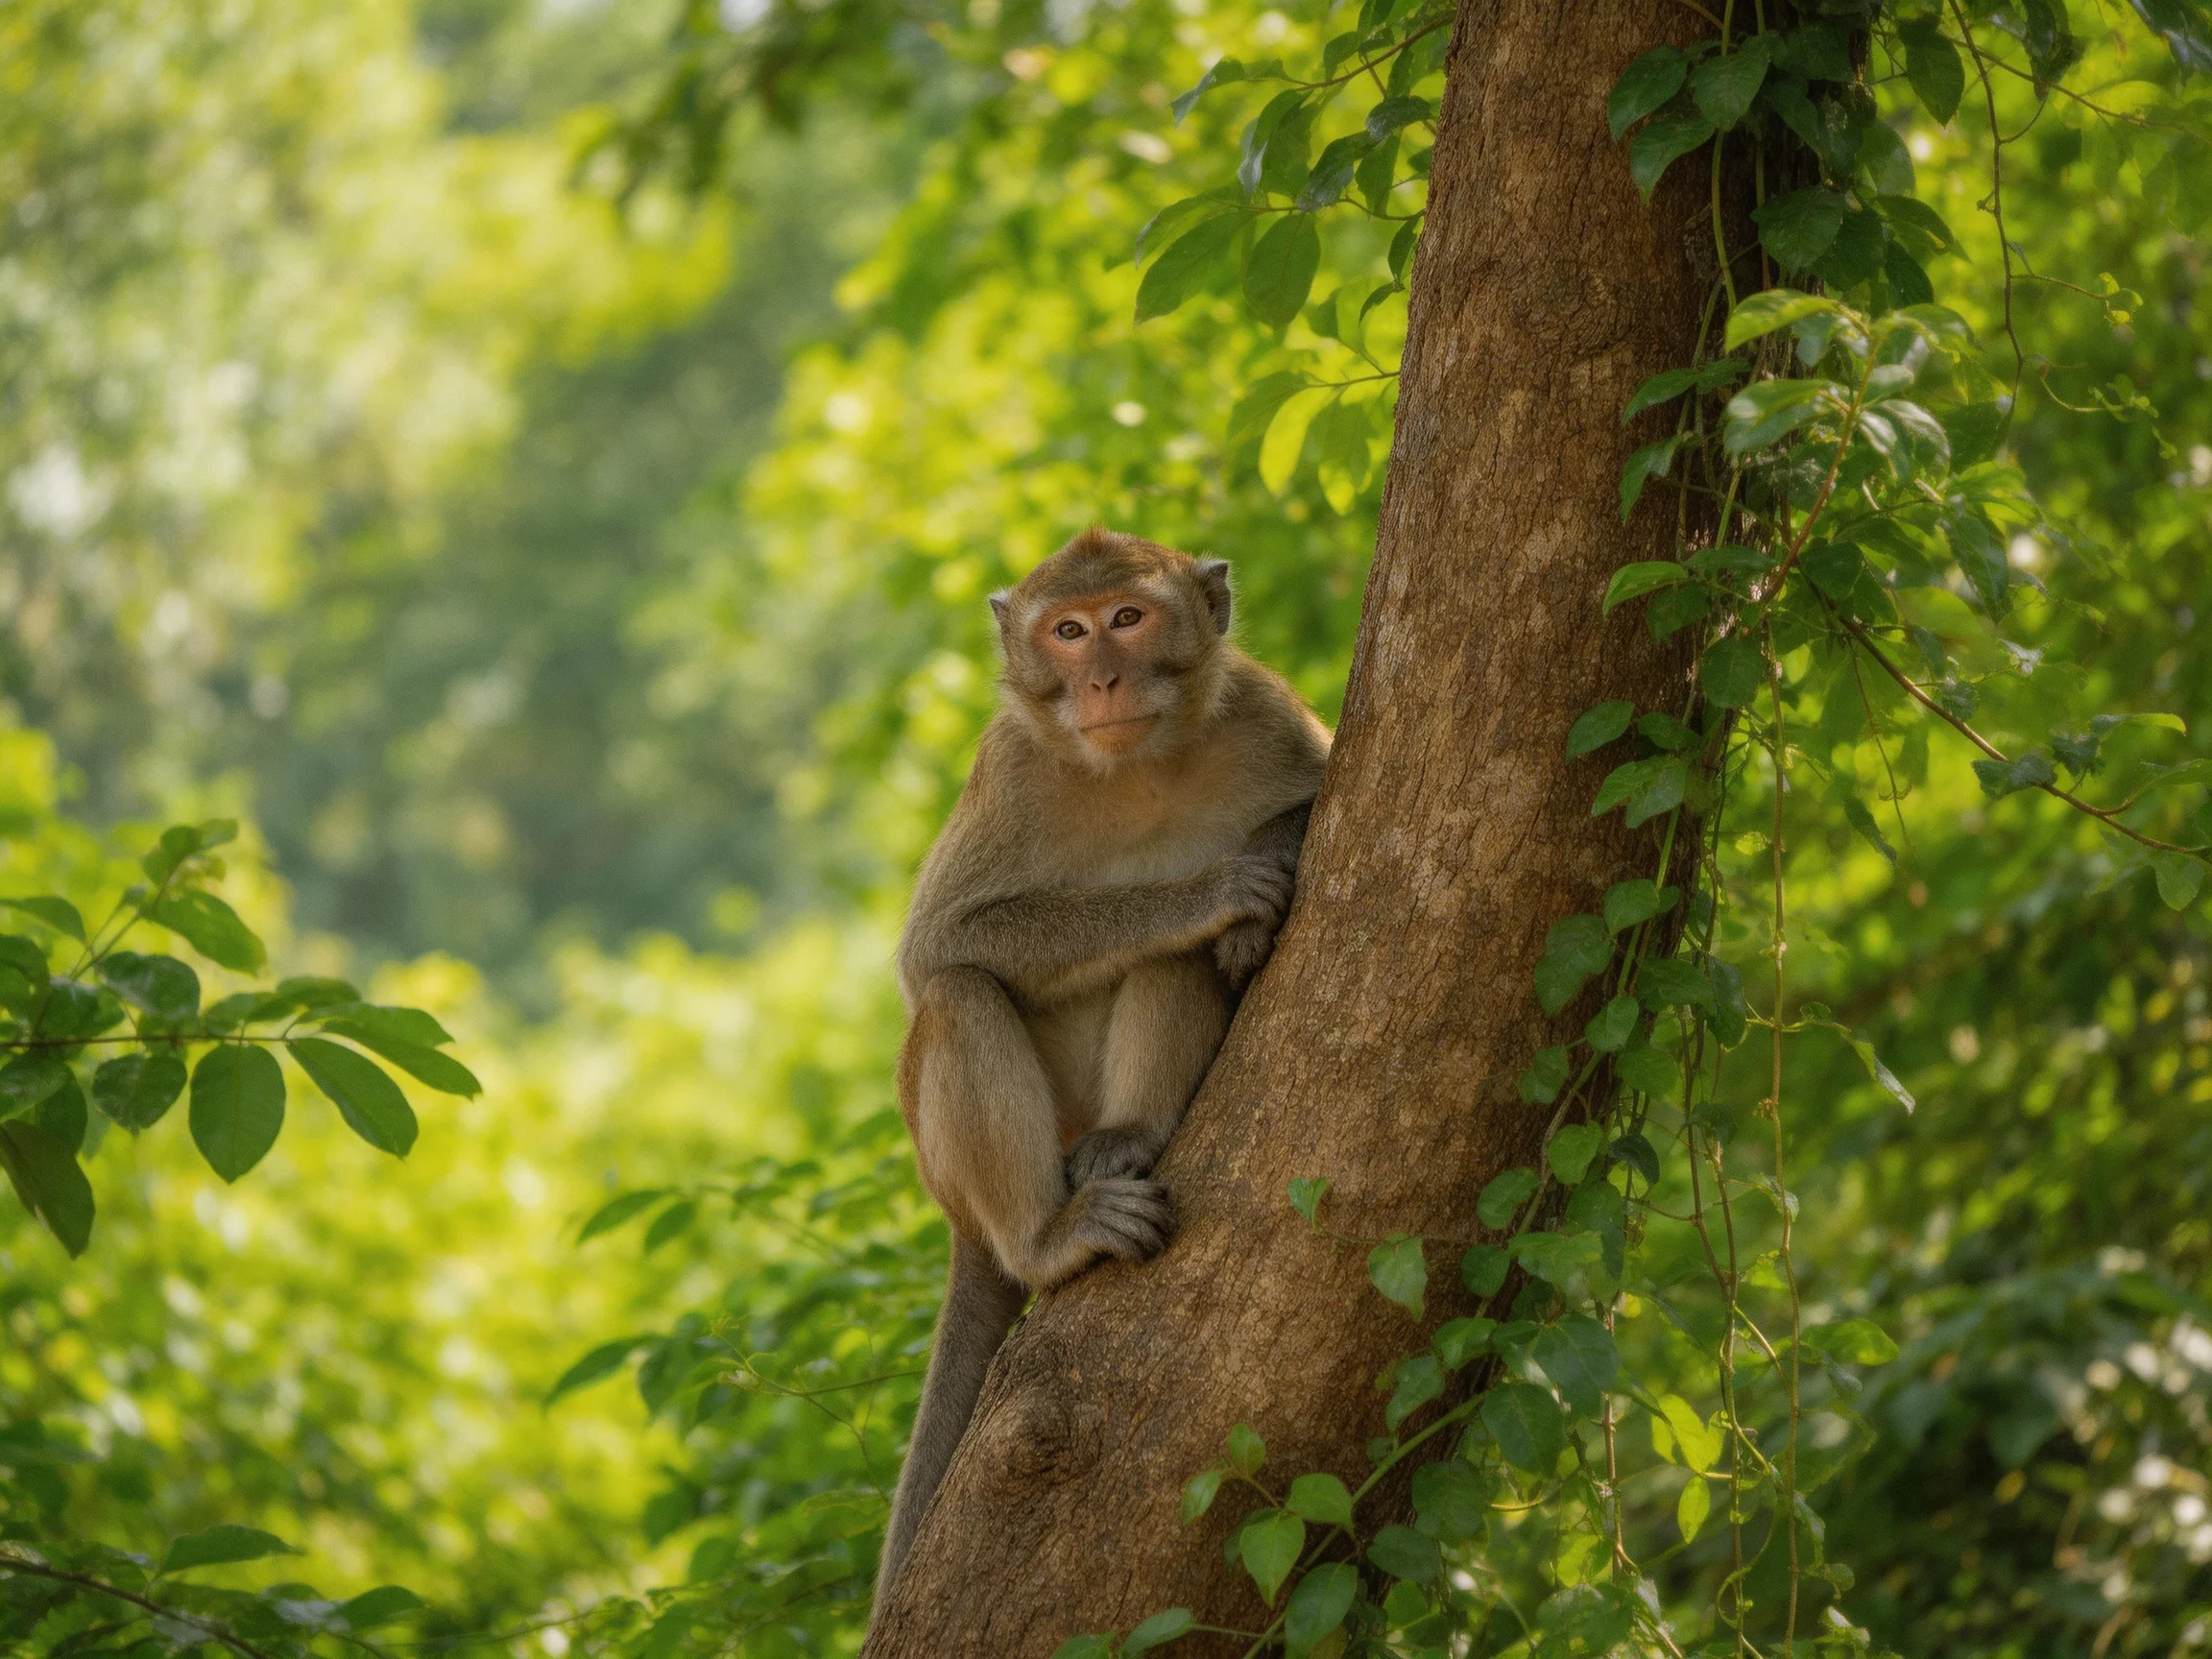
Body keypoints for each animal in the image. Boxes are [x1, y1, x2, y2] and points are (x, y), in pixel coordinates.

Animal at [875, 527, 1332, 1594]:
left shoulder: (1264, 710)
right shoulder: (1006, 765)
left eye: (1129, 617)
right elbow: (937, 947)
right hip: (960, 1162)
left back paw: (1133, 1133)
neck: (1137, 770)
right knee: (961, 996)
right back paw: (1049, 1236)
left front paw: (1258, 881)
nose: (1103, 679)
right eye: (1069, 632)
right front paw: (1213, 890)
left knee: (1172, 966)